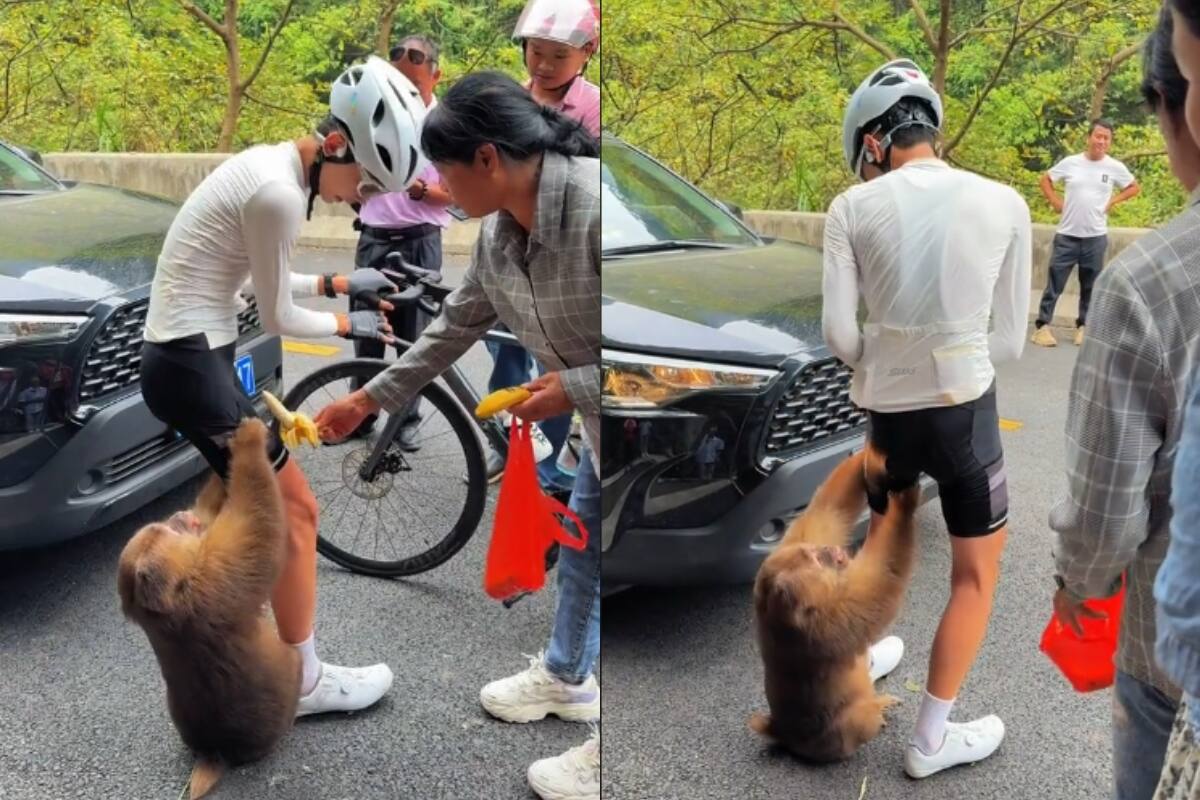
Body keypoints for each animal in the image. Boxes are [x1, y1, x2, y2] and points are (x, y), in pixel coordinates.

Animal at [118, 419, 300, 799]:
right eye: (163, 530)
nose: (178, 516)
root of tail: (216, 753)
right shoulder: (214, 572)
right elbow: (257, 521)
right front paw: (249, 437)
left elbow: (214, 510)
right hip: (287, 684)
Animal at [749, 444, 919, 763]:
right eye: (818, 560)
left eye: (815, 552)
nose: (832, 550)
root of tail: (781, 732)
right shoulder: (828, 622)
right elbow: (881, 585)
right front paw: (905, 503)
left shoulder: (790, 546)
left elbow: (826, 510)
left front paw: (871, 453)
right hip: (836, 737)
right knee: (859, 719)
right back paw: (876, 709)